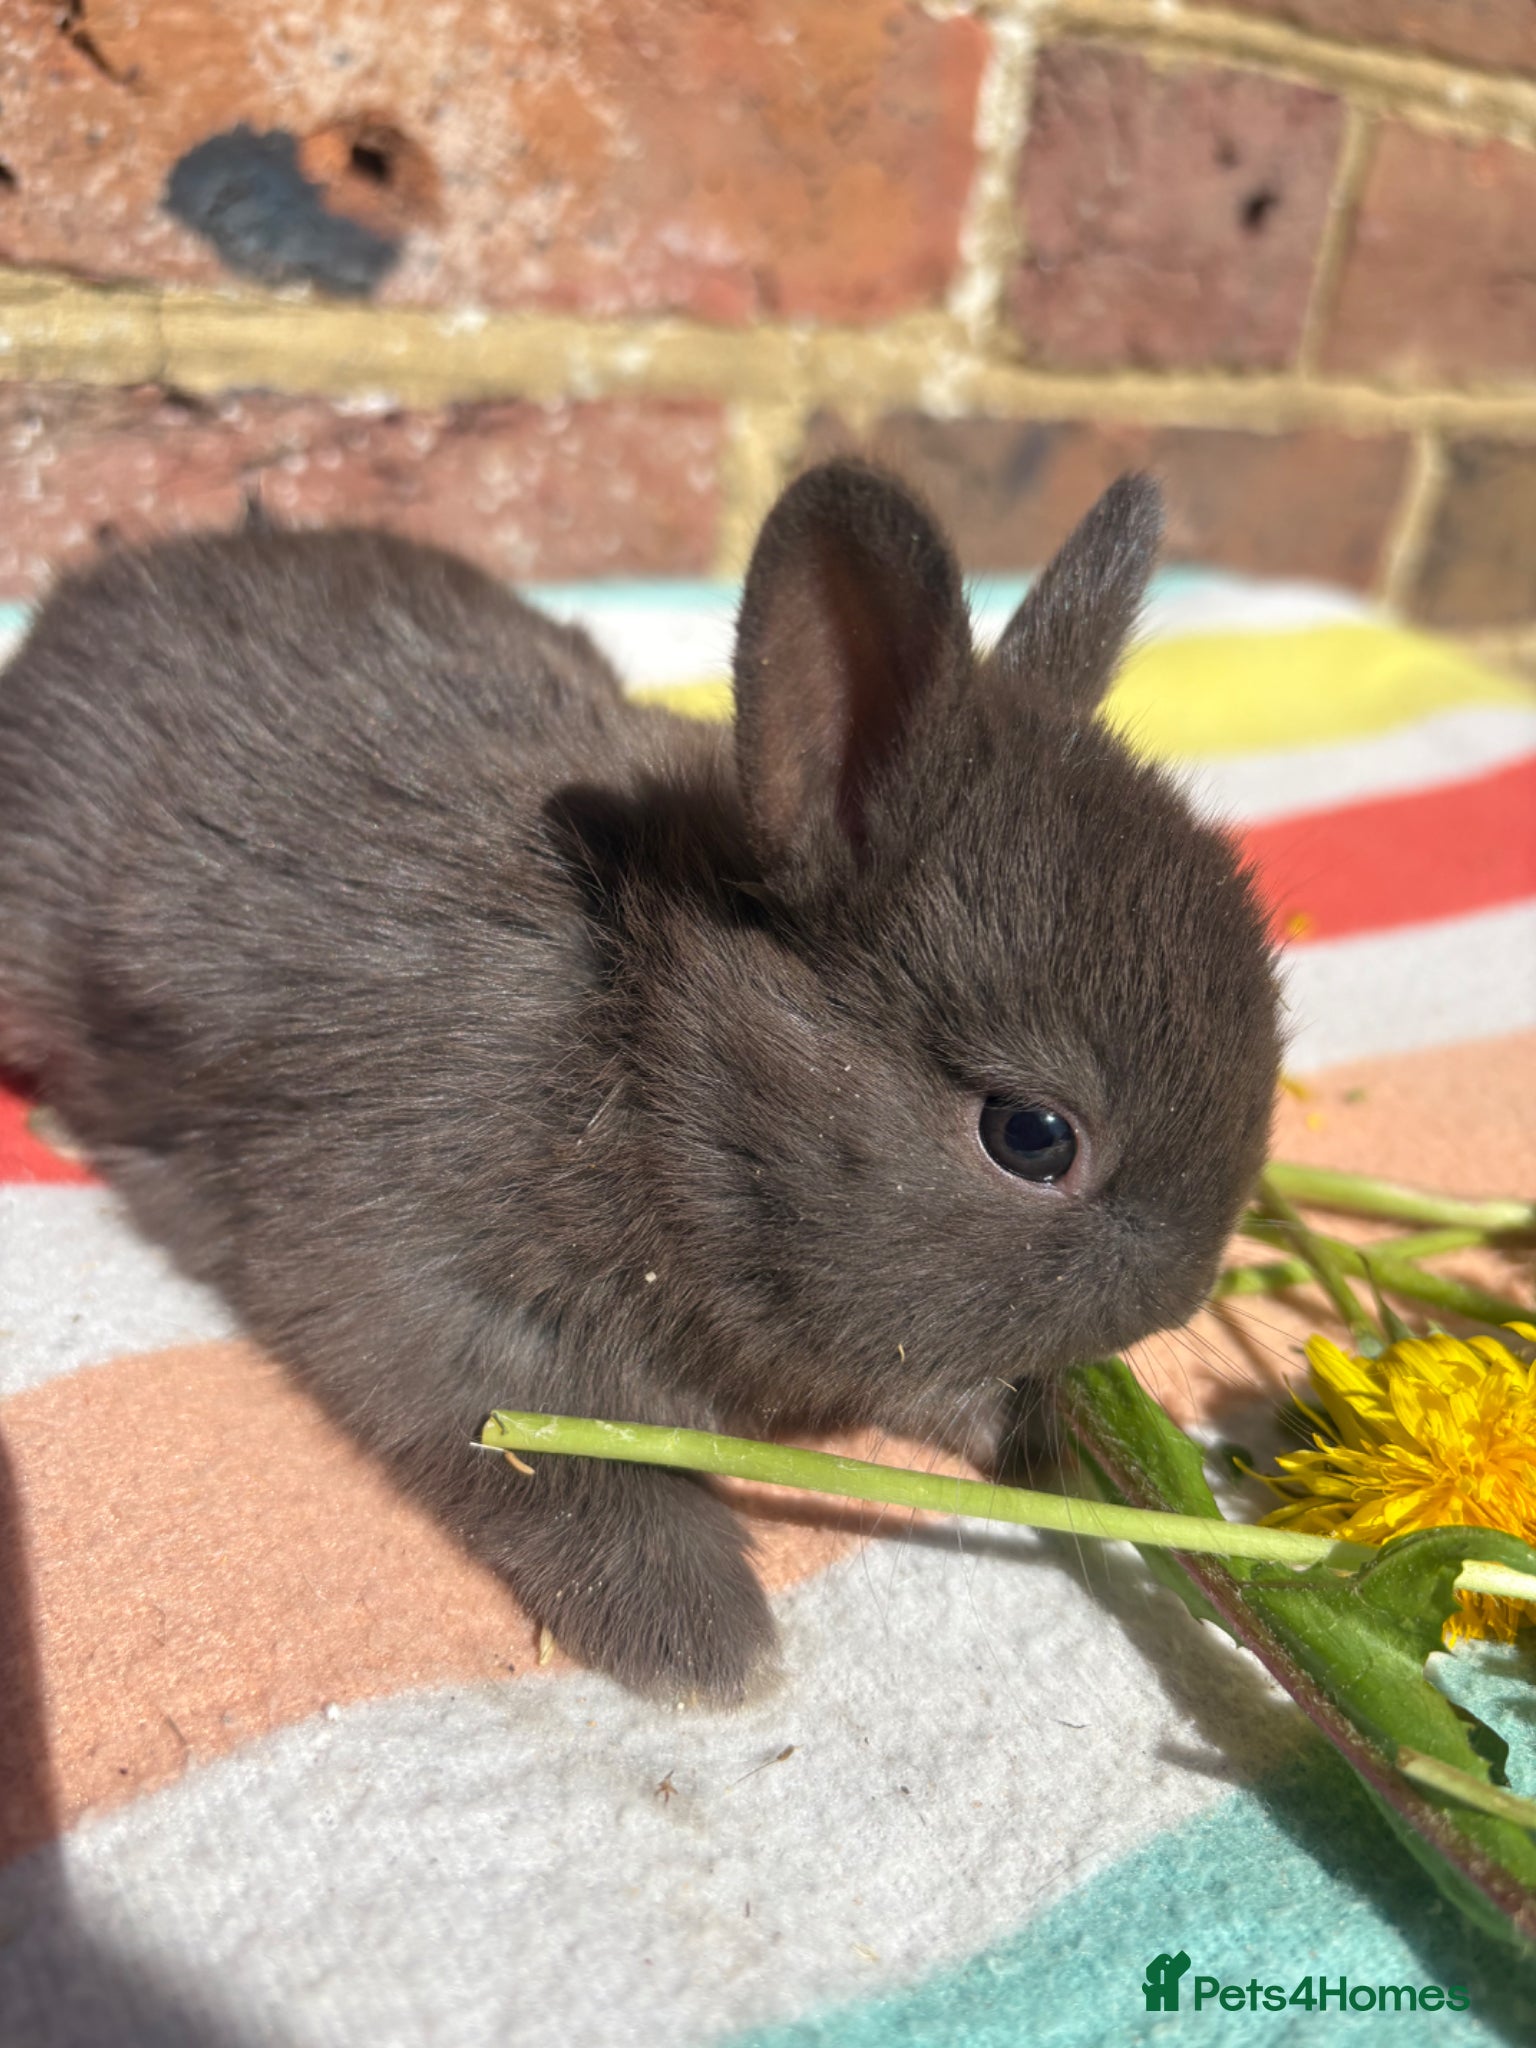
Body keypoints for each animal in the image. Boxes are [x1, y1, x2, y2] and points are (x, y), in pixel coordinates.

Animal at [0, 459, 1281, 1703]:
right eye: (1032, 1134)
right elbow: (561, 1468)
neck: (652, 1046)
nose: (1183, 1296)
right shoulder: (431, 1291)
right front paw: (708, 1648)